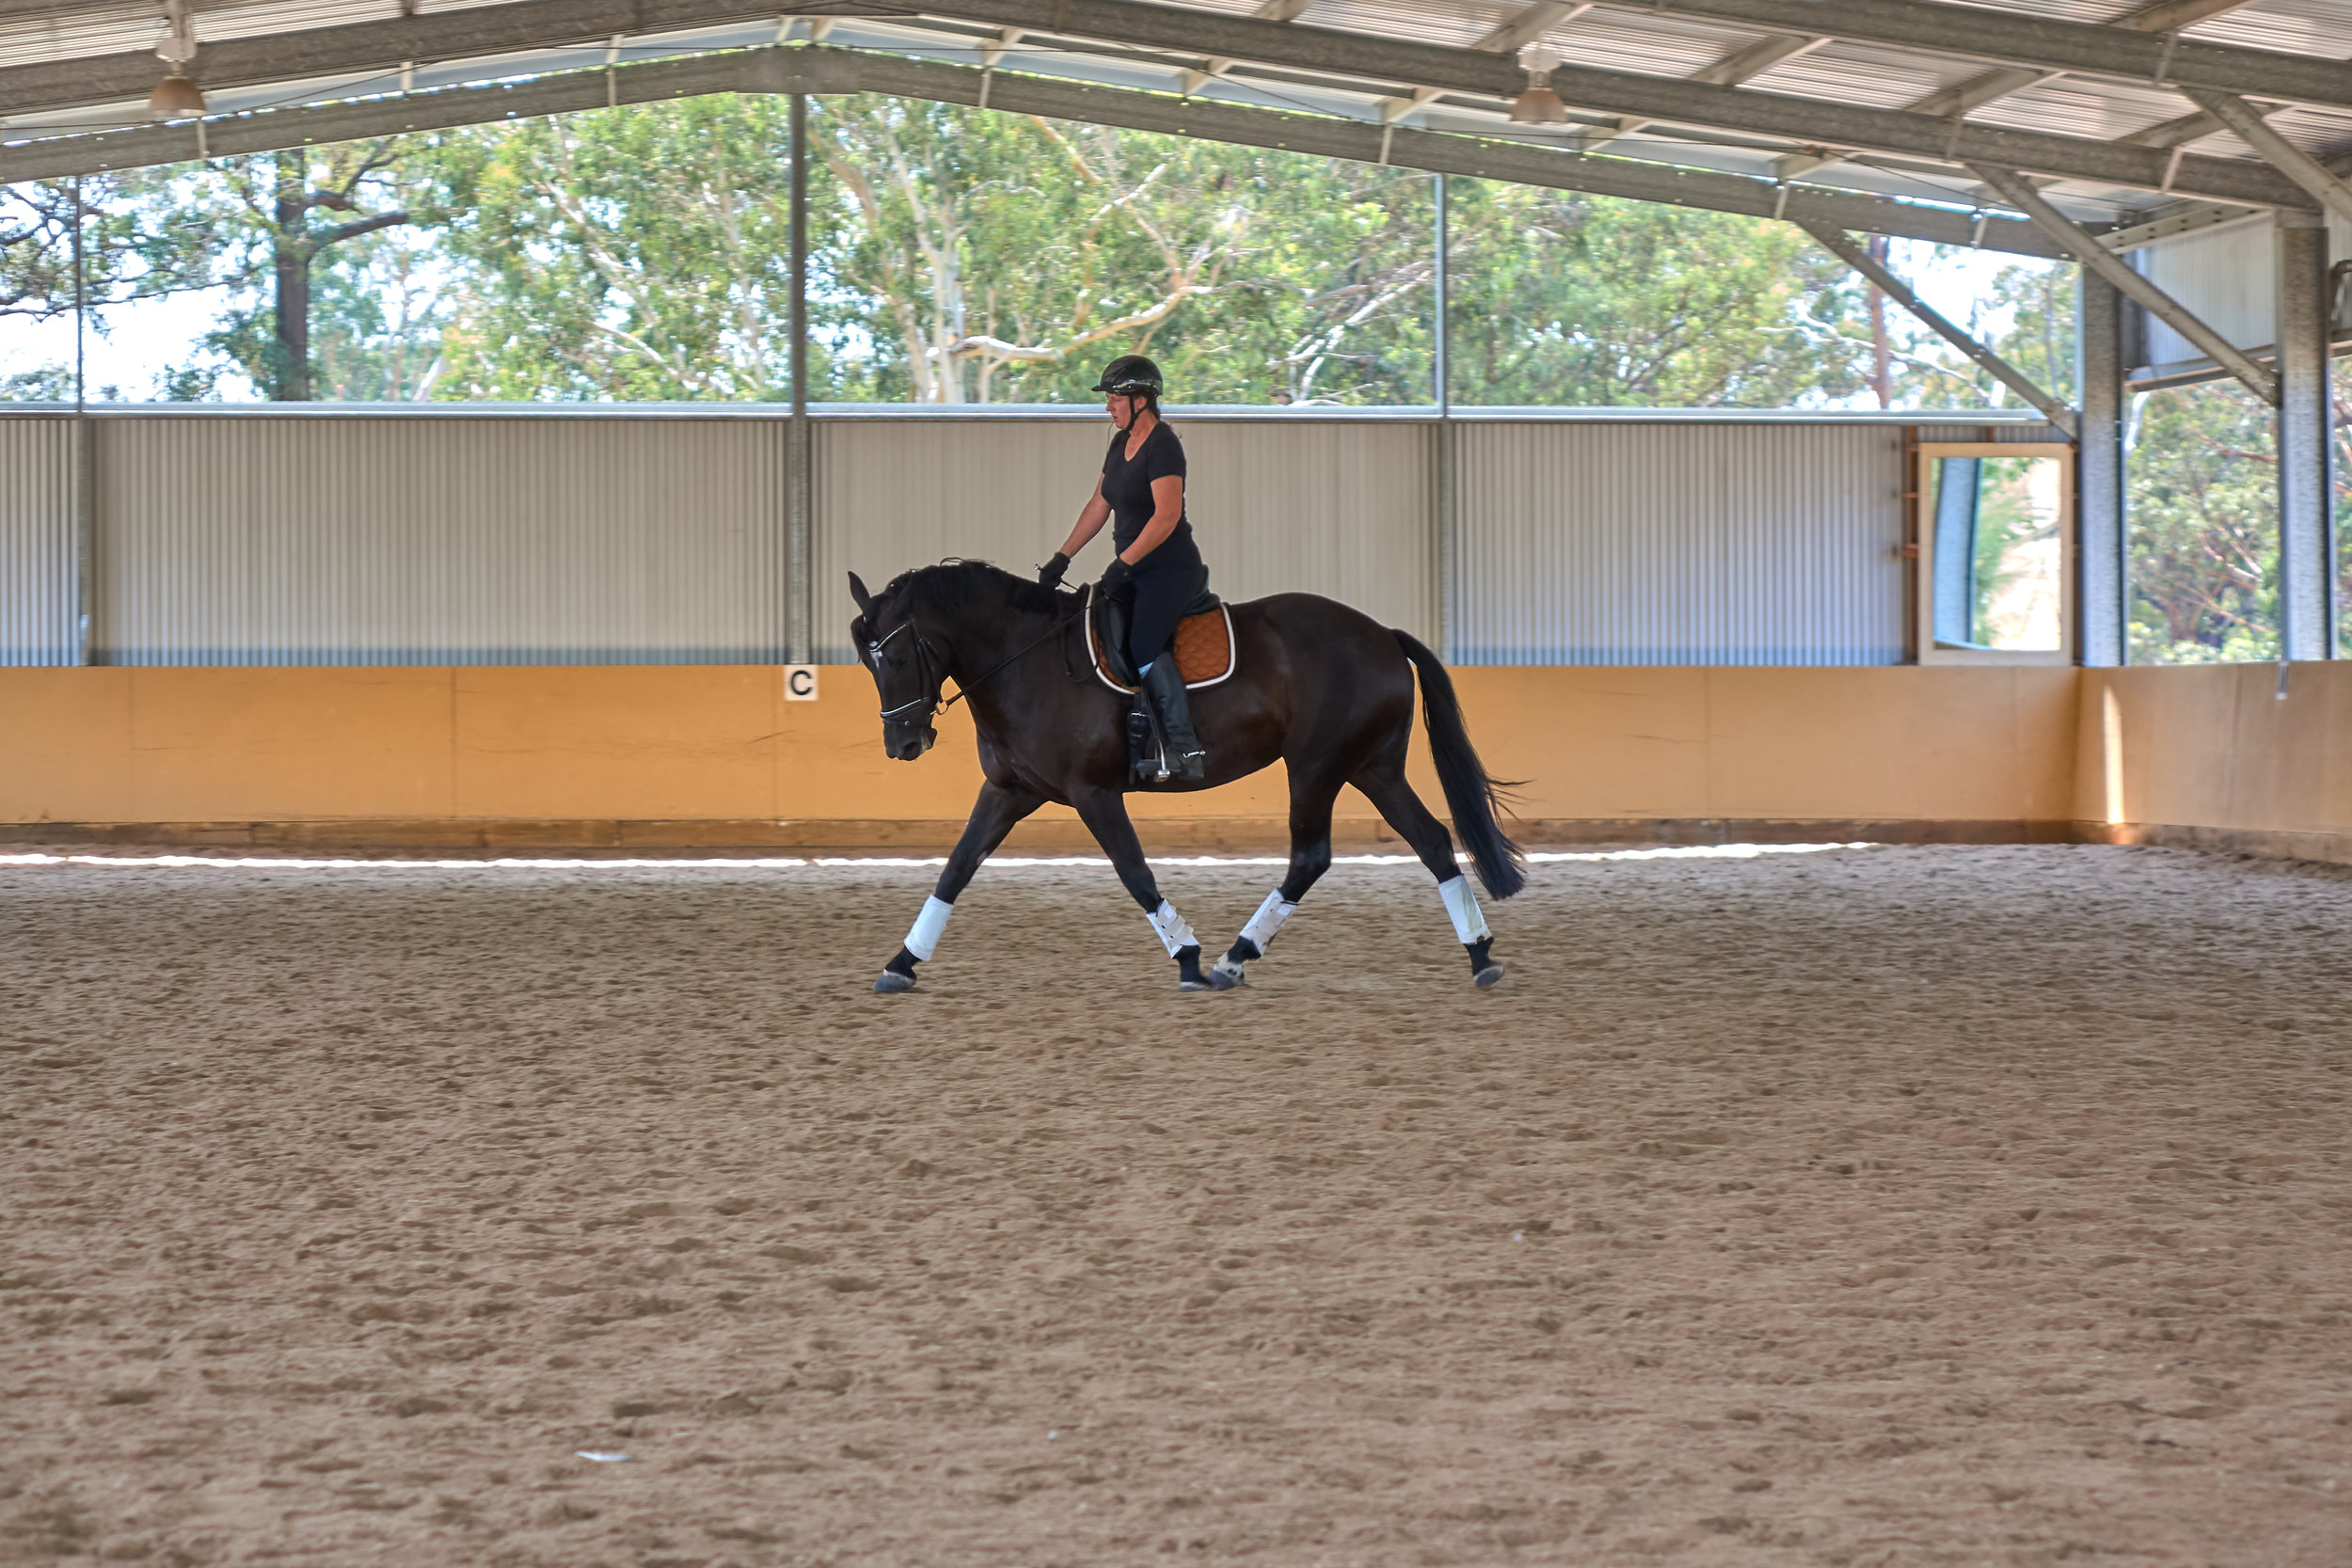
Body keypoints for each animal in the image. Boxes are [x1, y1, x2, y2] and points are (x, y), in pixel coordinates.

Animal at [847, 566, 1524, 991]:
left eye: (898, 656)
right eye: (866, 663)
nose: (903, 744)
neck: (1026, 660)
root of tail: (1384, 635)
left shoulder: (1094, 793)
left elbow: (1135, 873)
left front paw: (1189, 958)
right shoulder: (1011, 791)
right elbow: (956, 868)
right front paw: (902, 962)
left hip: (1316, 766)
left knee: (1311, 857)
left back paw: (1232, 958)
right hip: (1371, 767)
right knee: (1431, 841)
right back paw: (1480, 953)